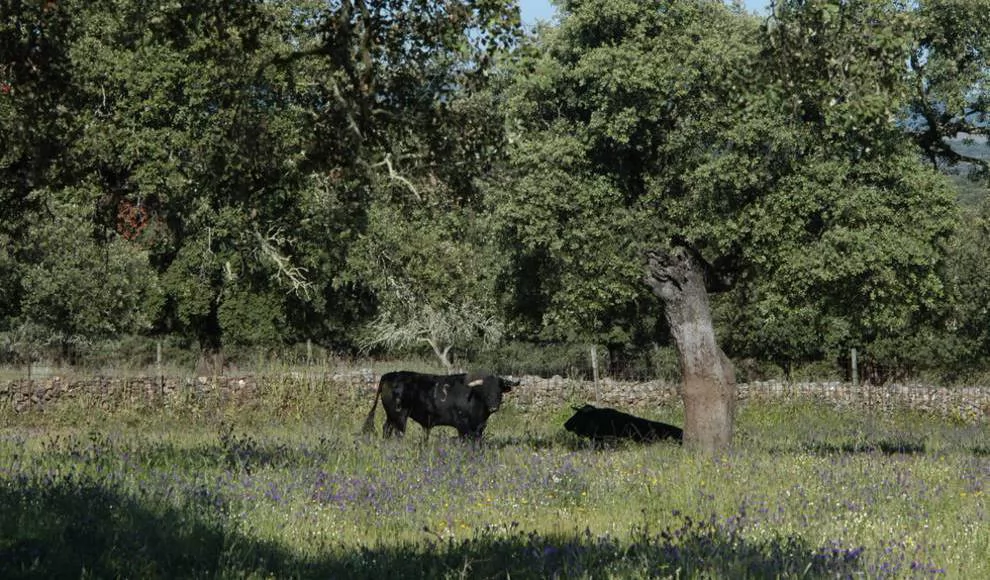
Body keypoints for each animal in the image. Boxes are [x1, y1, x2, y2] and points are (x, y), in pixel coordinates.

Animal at [364, 372, 520, 440]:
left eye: (499, 390)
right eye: (485, 390)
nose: (494, 407)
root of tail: (391, 375)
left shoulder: (479, 427)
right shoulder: (462, 425)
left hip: (391, 415)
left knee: (386, 428)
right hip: (399, 415)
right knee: (398, 432)